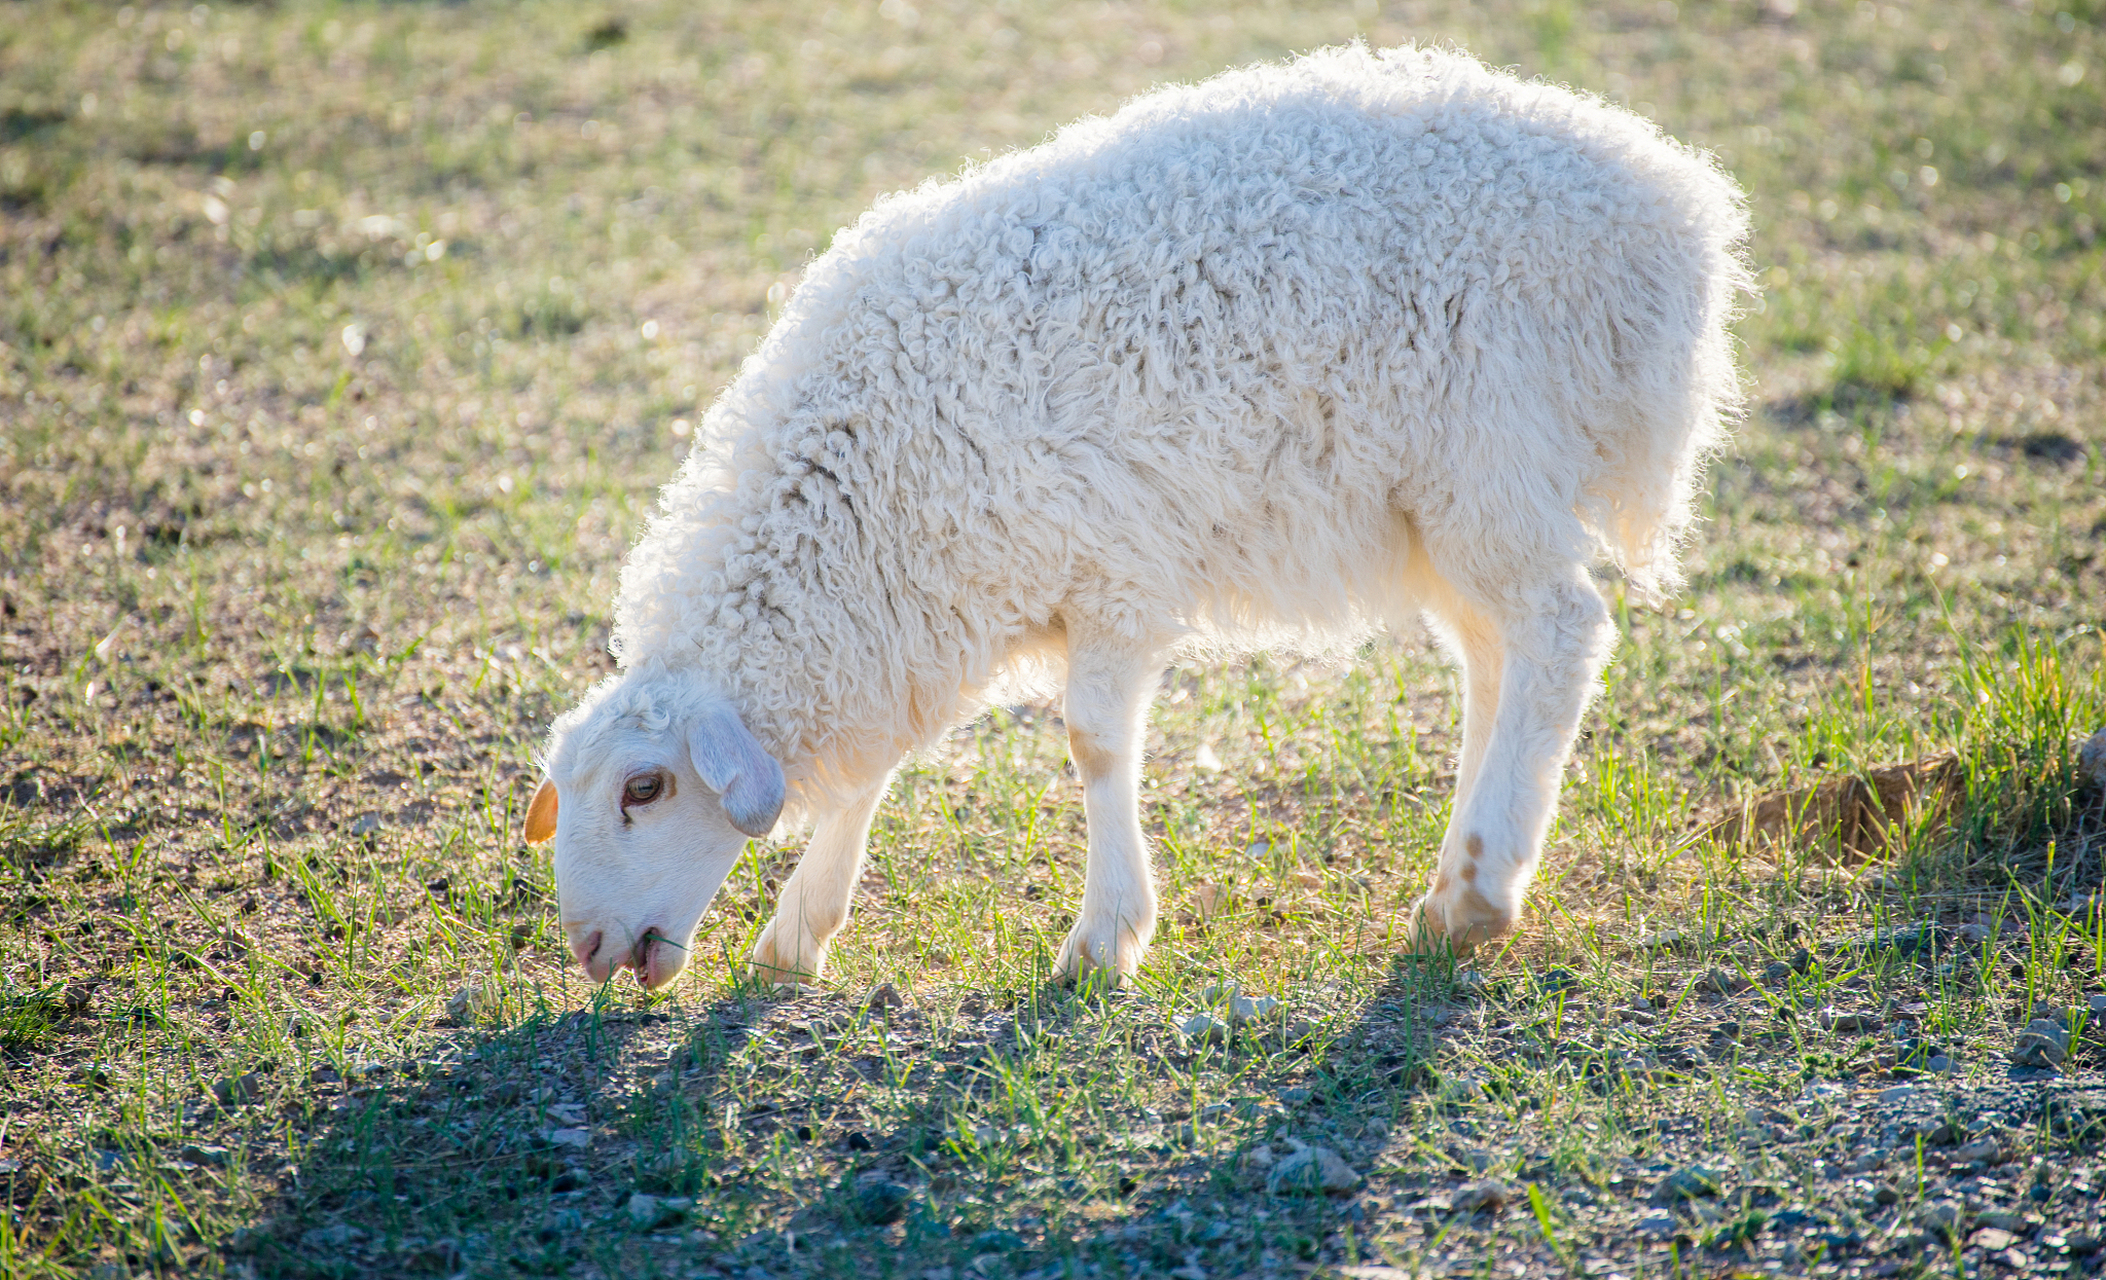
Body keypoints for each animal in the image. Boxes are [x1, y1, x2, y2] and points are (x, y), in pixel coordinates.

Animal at [526, 45, 1743, 989]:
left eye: (645, 788)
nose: (588, 948)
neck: (866, 484)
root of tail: (1674, 205)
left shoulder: (1111, 568)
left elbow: (1095, 744)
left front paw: (1104, 937)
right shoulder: (926, 604)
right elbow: (877, 767)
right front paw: (800, 928)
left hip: (1490, 452)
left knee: (1560, 632)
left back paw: (1482, 892)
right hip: (1445, 504)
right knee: (1497, 657)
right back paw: (1455, 881)